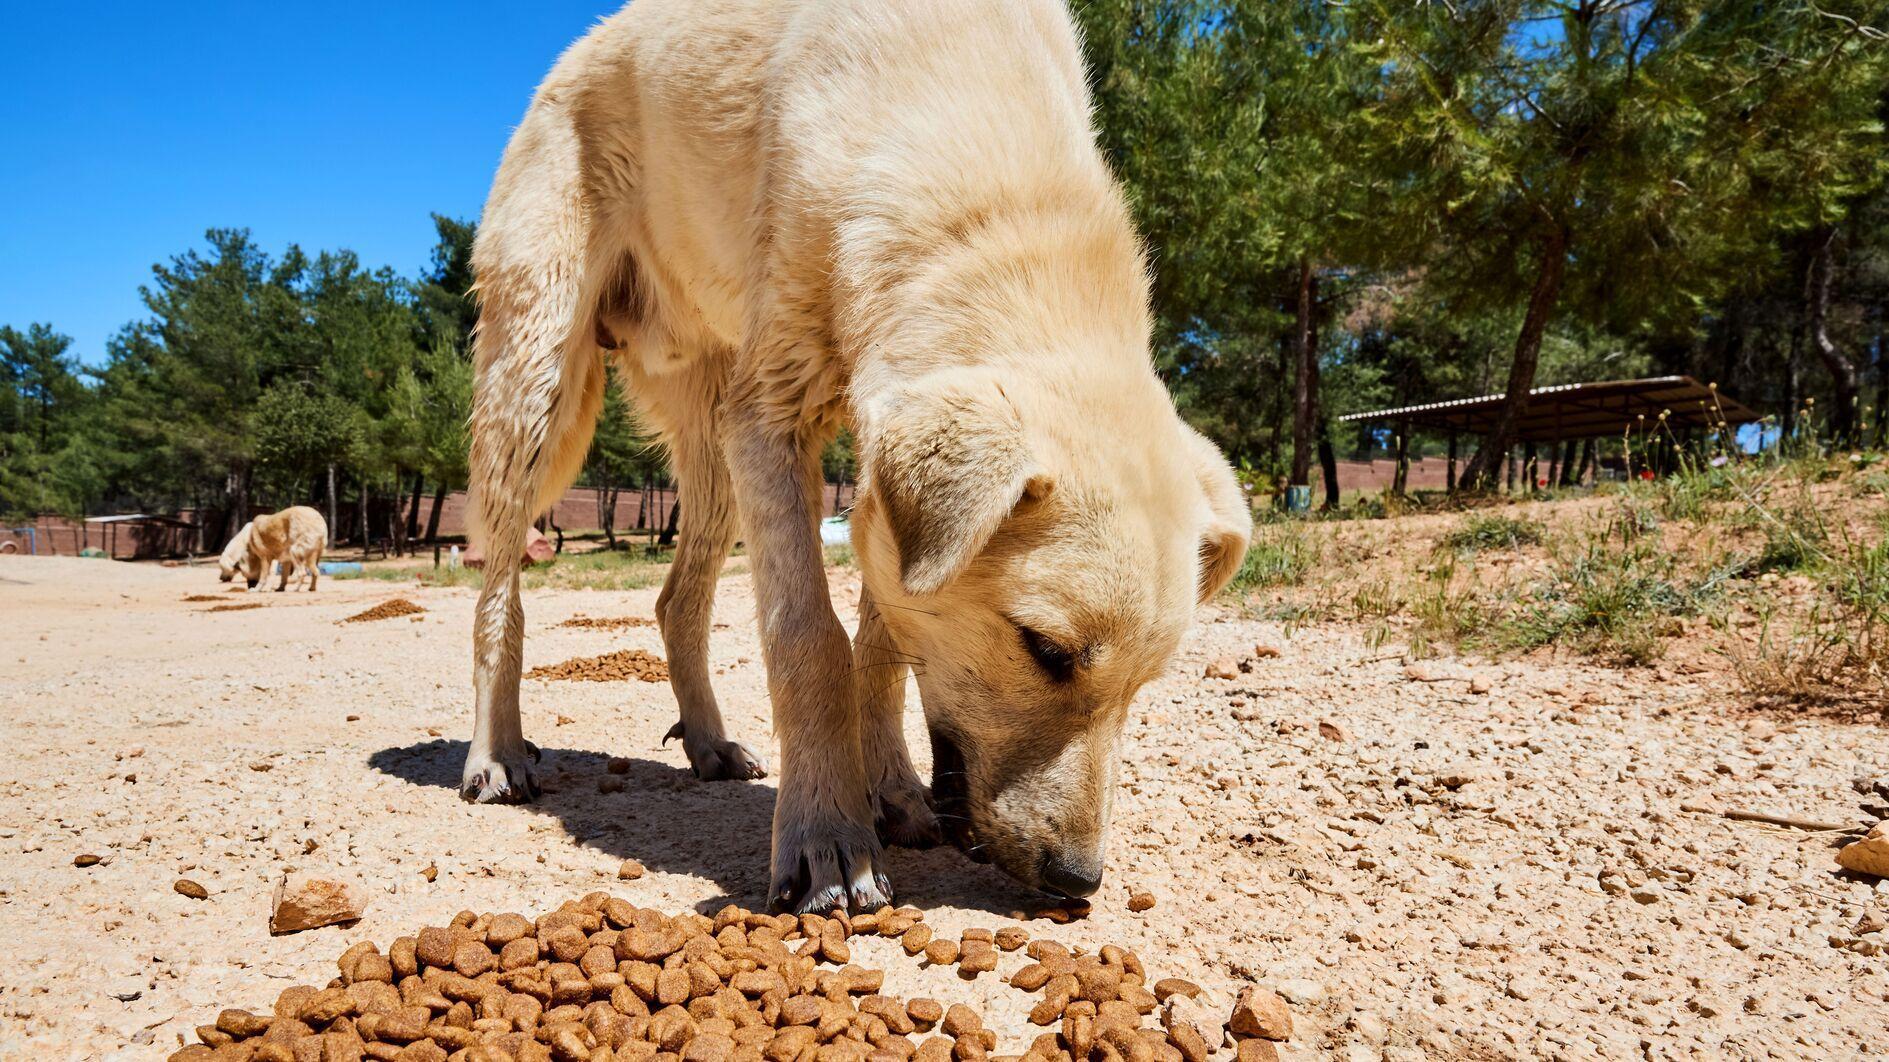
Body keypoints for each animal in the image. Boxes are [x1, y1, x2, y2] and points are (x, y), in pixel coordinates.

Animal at [462, 0, 1246, 910]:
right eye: (1046, 651)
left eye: (1145, 683)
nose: (1076, 882)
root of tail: (570, 55)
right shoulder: (770, 420)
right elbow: (810, 640)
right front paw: (826, 837)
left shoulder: (873, 486)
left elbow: (884, 644)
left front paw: (891, 790)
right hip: (539, 387)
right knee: (499, 587)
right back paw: (495, 751)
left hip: (710, 442)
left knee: (675, 600)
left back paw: (708, 742)